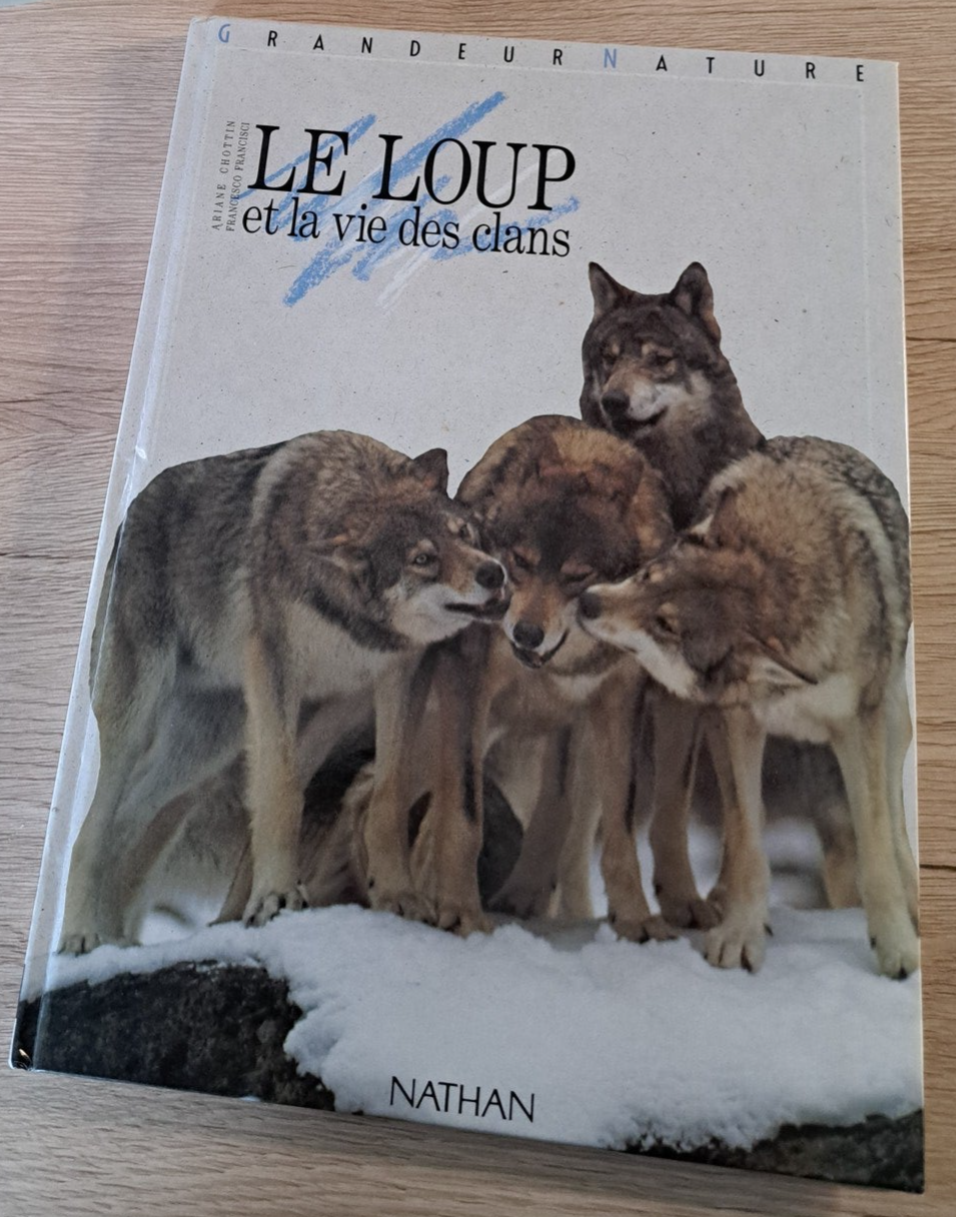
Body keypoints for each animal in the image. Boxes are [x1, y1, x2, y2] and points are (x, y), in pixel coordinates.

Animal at [58, 430, 506, 953]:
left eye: (465, 534)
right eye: (423, 559)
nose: (494, 573)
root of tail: (131, 509)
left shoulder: (383, 683)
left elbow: (388, 797)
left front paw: (399, 897)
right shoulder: (276, 672)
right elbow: (282, 791)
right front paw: (274, 897)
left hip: (208, 746)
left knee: (130, 819)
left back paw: (115, 939)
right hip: (136, 718)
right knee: (92, 827)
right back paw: (80, 935)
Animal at [578, 436, 919, 978]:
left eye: (665, 626)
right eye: (647, 577)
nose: (586, 602)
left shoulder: (856, 728)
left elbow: (875, 847)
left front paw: (894, 945)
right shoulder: (740, 722)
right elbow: (748, 847)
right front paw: (740, 934)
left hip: (888, 721)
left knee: (891, 816)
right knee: (742, 835)